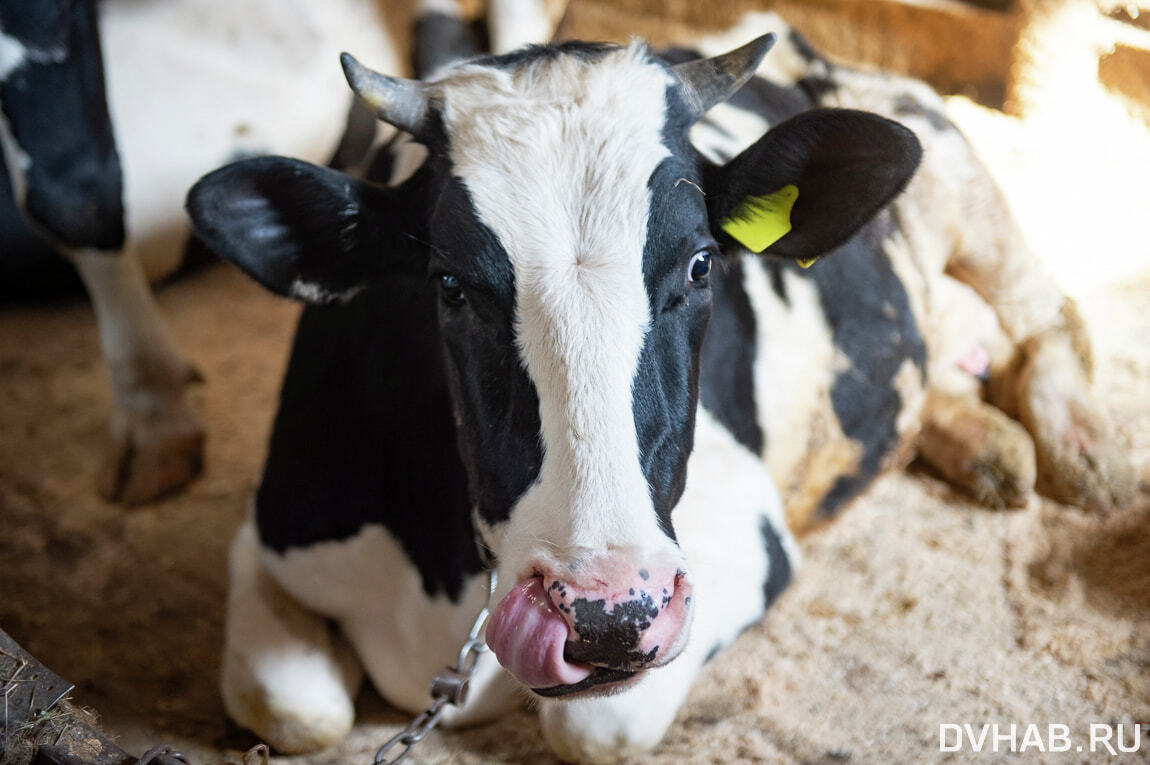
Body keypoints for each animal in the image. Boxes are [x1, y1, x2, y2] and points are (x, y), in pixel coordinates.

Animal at [188, 2, 1131, 759]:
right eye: (449, 283)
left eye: (702, 263)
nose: (607, 612)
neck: (446, 583)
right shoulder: (271, 528)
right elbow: (291, 706)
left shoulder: (741, 533)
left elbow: (595, 723)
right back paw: (985, 445)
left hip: (960, 173)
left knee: (1047, 309)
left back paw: (1083, 452)